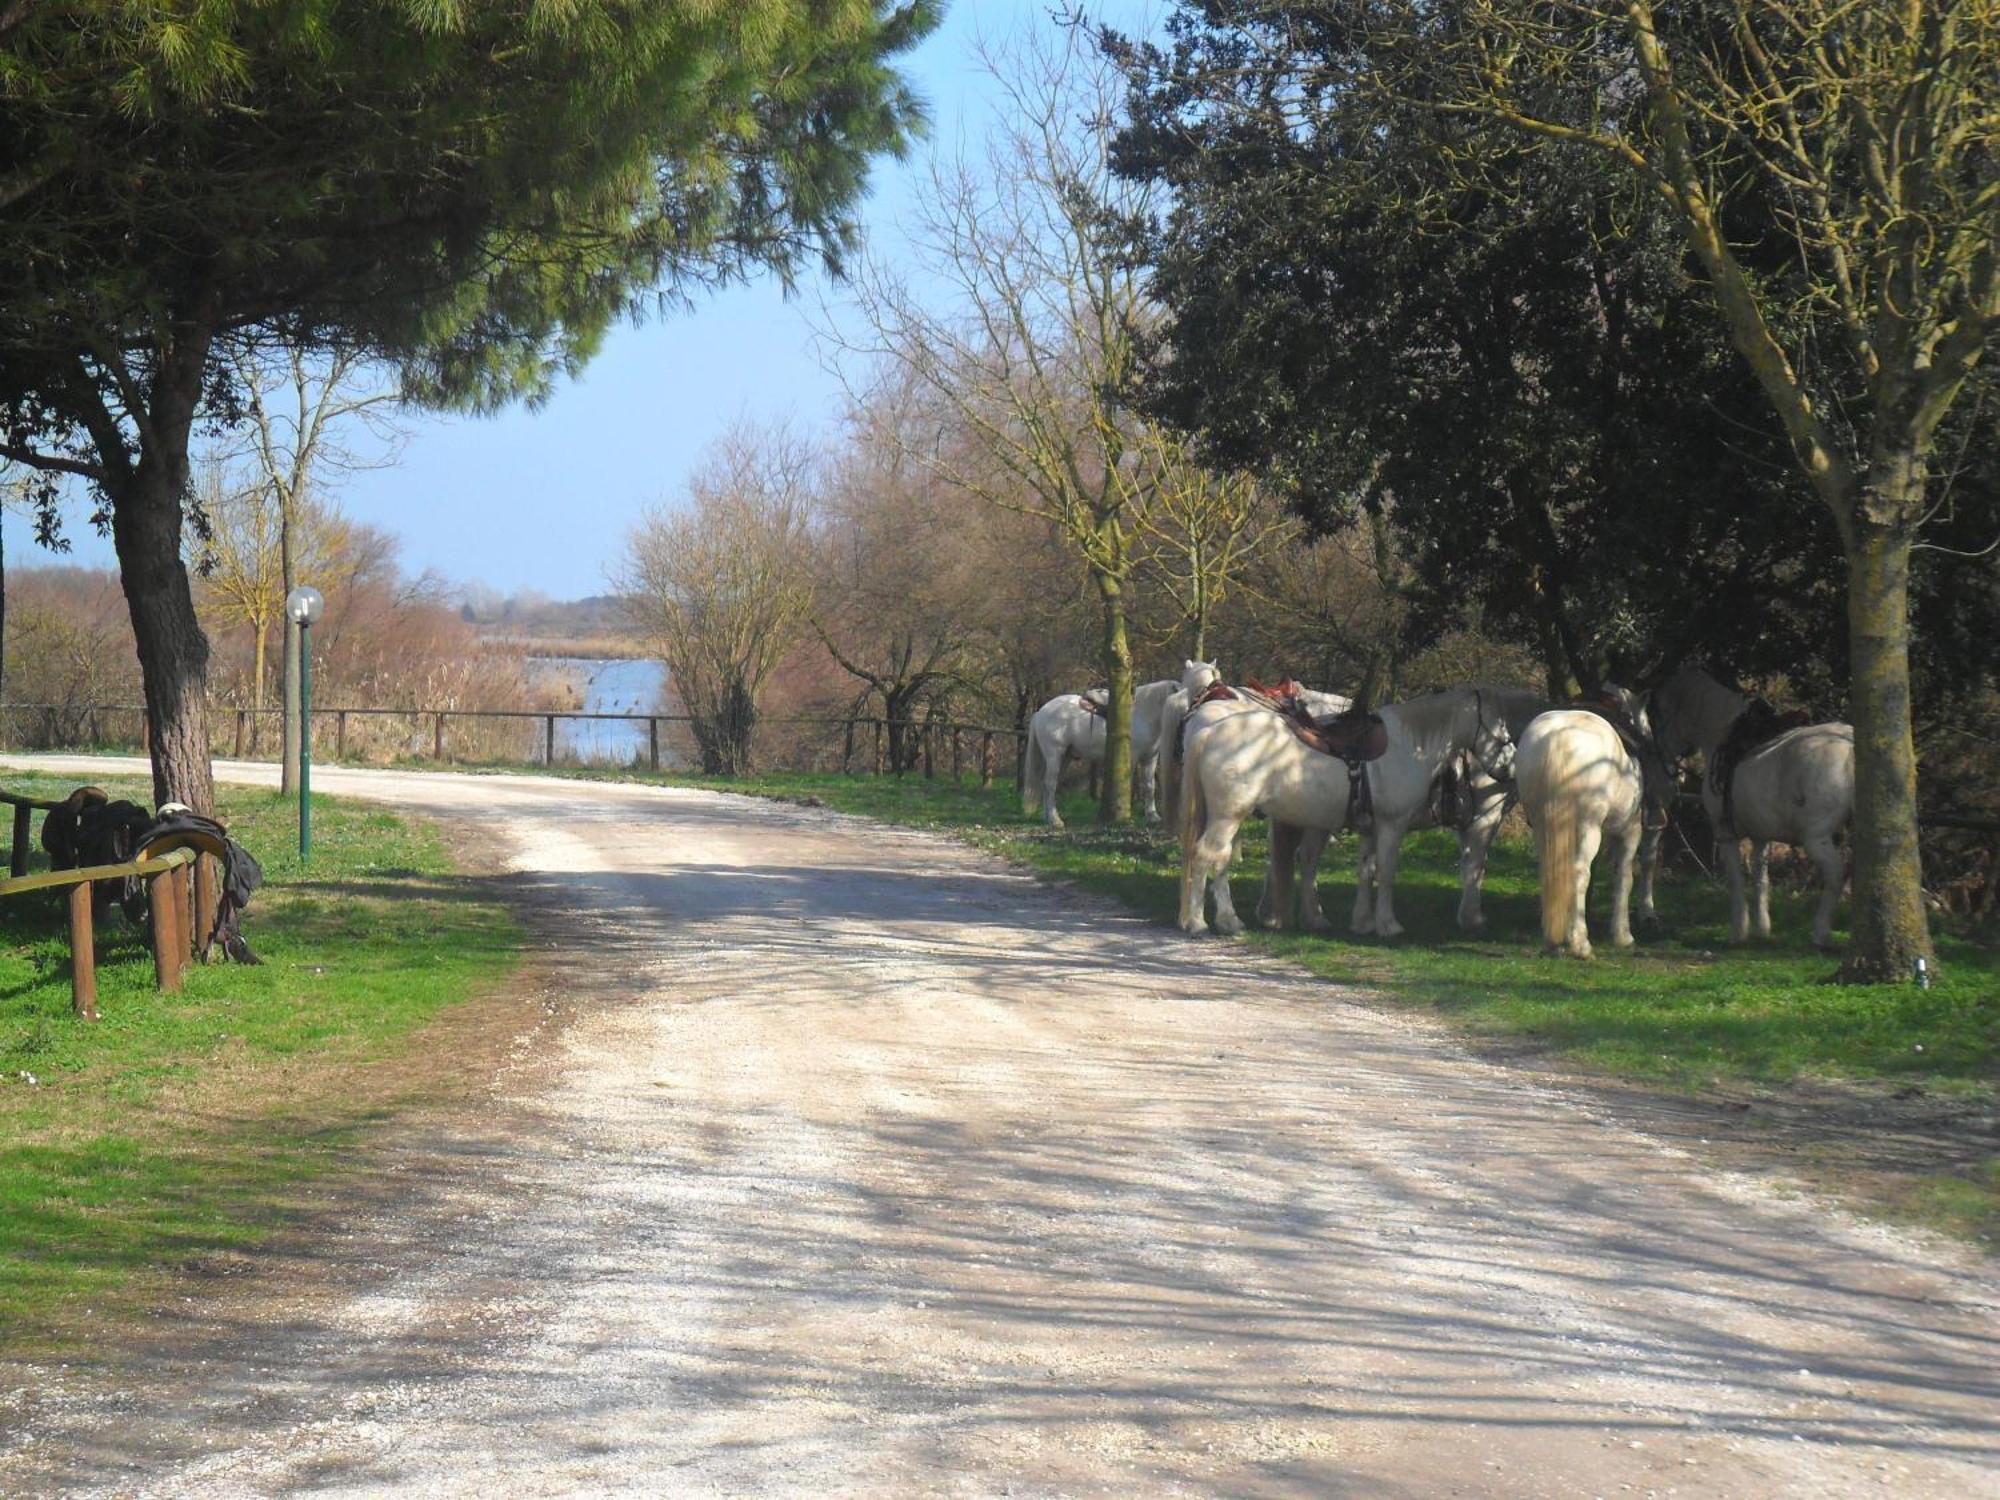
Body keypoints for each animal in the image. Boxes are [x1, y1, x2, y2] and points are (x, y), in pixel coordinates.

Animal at [1016, 664, 1216, 836]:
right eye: (1188, 699)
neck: (1144, 714)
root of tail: (1040, 712)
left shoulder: (1150, 758)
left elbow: (1149, 786)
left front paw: (1152, 816)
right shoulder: (1132, 757)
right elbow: (1129, 783)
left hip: (1065, 757)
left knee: (1050, 784)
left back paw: (1049, 817)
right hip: (1054, 755)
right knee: (1049, 784)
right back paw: (1055, 820)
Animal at [1168, 692, 1512, 940]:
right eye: (1499, 729)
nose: (1509, 767)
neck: (1409, 745)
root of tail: (1208, 733)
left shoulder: (1369, 828)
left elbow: (1366, 871)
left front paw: (1363, 922)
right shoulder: (1392, 824)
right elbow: (1387, 872)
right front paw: (1388, 924)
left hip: (1226, 817)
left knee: (1218, 860)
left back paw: (1224, 920)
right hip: (1228, 817)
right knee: (1206, 856)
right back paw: (1203, 922)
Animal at [1520, 708, 1648, 964]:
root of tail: (1558, 736)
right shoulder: (1630, 831)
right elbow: (1625, 877)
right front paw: (1623, 934)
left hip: (1541, 823)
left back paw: (1553, 940)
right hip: (1589, 825)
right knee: (1579, 872)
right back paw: (1580, 944)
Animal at [1648, 664, 1848, 944]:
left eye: (1656, 716)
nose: (1658, 759)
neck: (1723, 736)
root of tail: (1848, 745)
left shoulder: (1725, 833)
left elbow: (1736, 880)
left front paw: (1739, 930)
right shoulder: (1761, 836)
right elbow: (1760, 878)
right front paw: (1762, 927)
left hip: (1816, 838)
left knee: (1835, 876)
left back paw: (1821, 932)